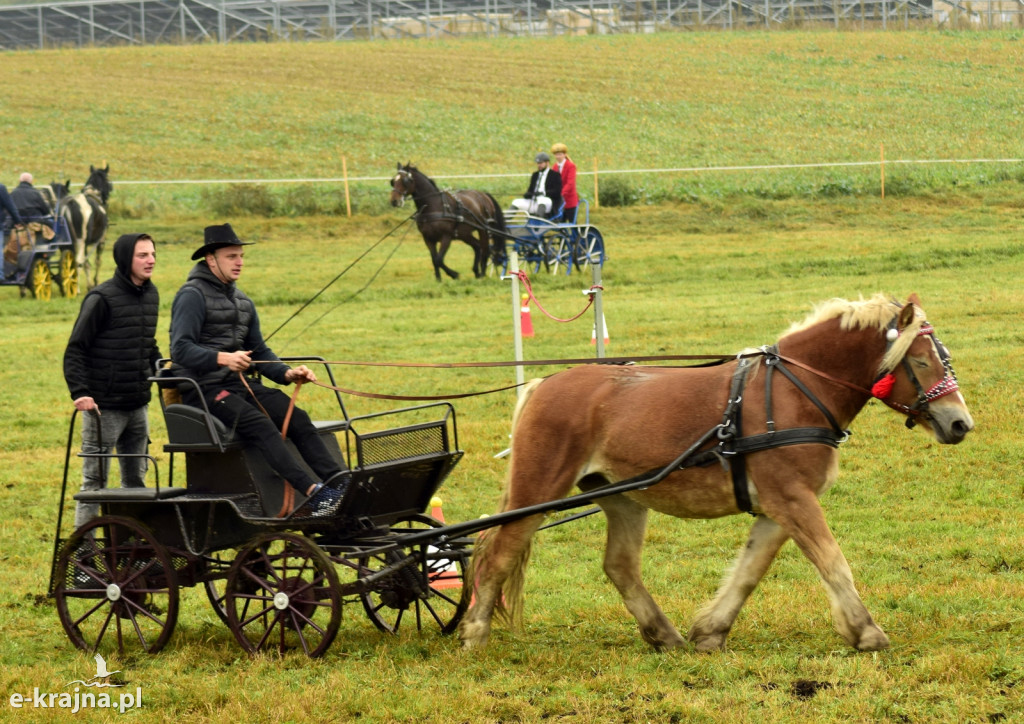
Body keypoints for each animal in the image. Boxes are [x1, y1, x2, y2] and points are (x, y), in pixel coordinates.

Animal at [464, 294, 974, 655]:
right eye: (922, 360)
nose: (959, 423)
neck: (795, 391)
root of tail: (543, 383)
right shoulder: (793, 499)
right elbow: (833, 562)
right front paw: (866, 632)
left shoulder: (778, 505)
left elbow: (750, 571)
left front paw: (710, 632)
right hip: (538, 486)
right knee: (497, 552)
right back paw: (473, 633)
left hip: (621, 495)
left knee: (619, 566)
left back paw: (664, 635)